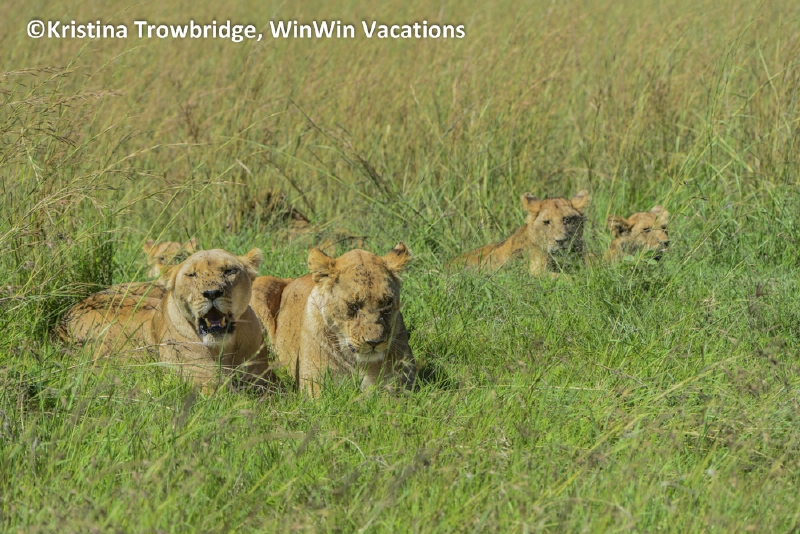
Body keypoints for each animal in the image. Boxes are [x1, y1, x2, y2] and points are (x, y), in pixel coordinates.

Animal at [57, 248, 272, 389]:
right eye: (192, 274)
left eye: (230, 271)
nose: (211, 293)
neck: (223, 347)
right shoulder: (203, 382)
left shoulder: (263, 379)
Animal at [251, 244, 416, 396]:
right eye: (353, 306)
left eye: (387, 303)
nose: (375, 342)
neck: (360, 363)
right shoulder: (317, 387)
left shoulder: (400, 385)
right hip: (260, 284)